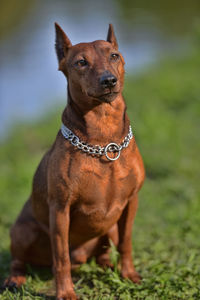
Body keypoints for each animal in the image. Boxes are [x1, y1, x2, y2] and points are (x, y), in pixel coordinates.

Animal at [4, 22, 145, 298]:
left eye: (114, 56)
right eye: (81, 62)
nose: (108, 80)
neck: (104, 141)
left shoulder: (131, 202)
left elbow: (127, 243)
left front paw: (129, 274)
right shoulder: (60, 209)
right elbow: (61, 259)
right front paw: (66, 292)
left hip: (110, 227)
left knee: (103, 252)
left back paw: (107, 266)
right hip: (22, 231)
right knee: (21, 260)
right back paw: (15, 278)